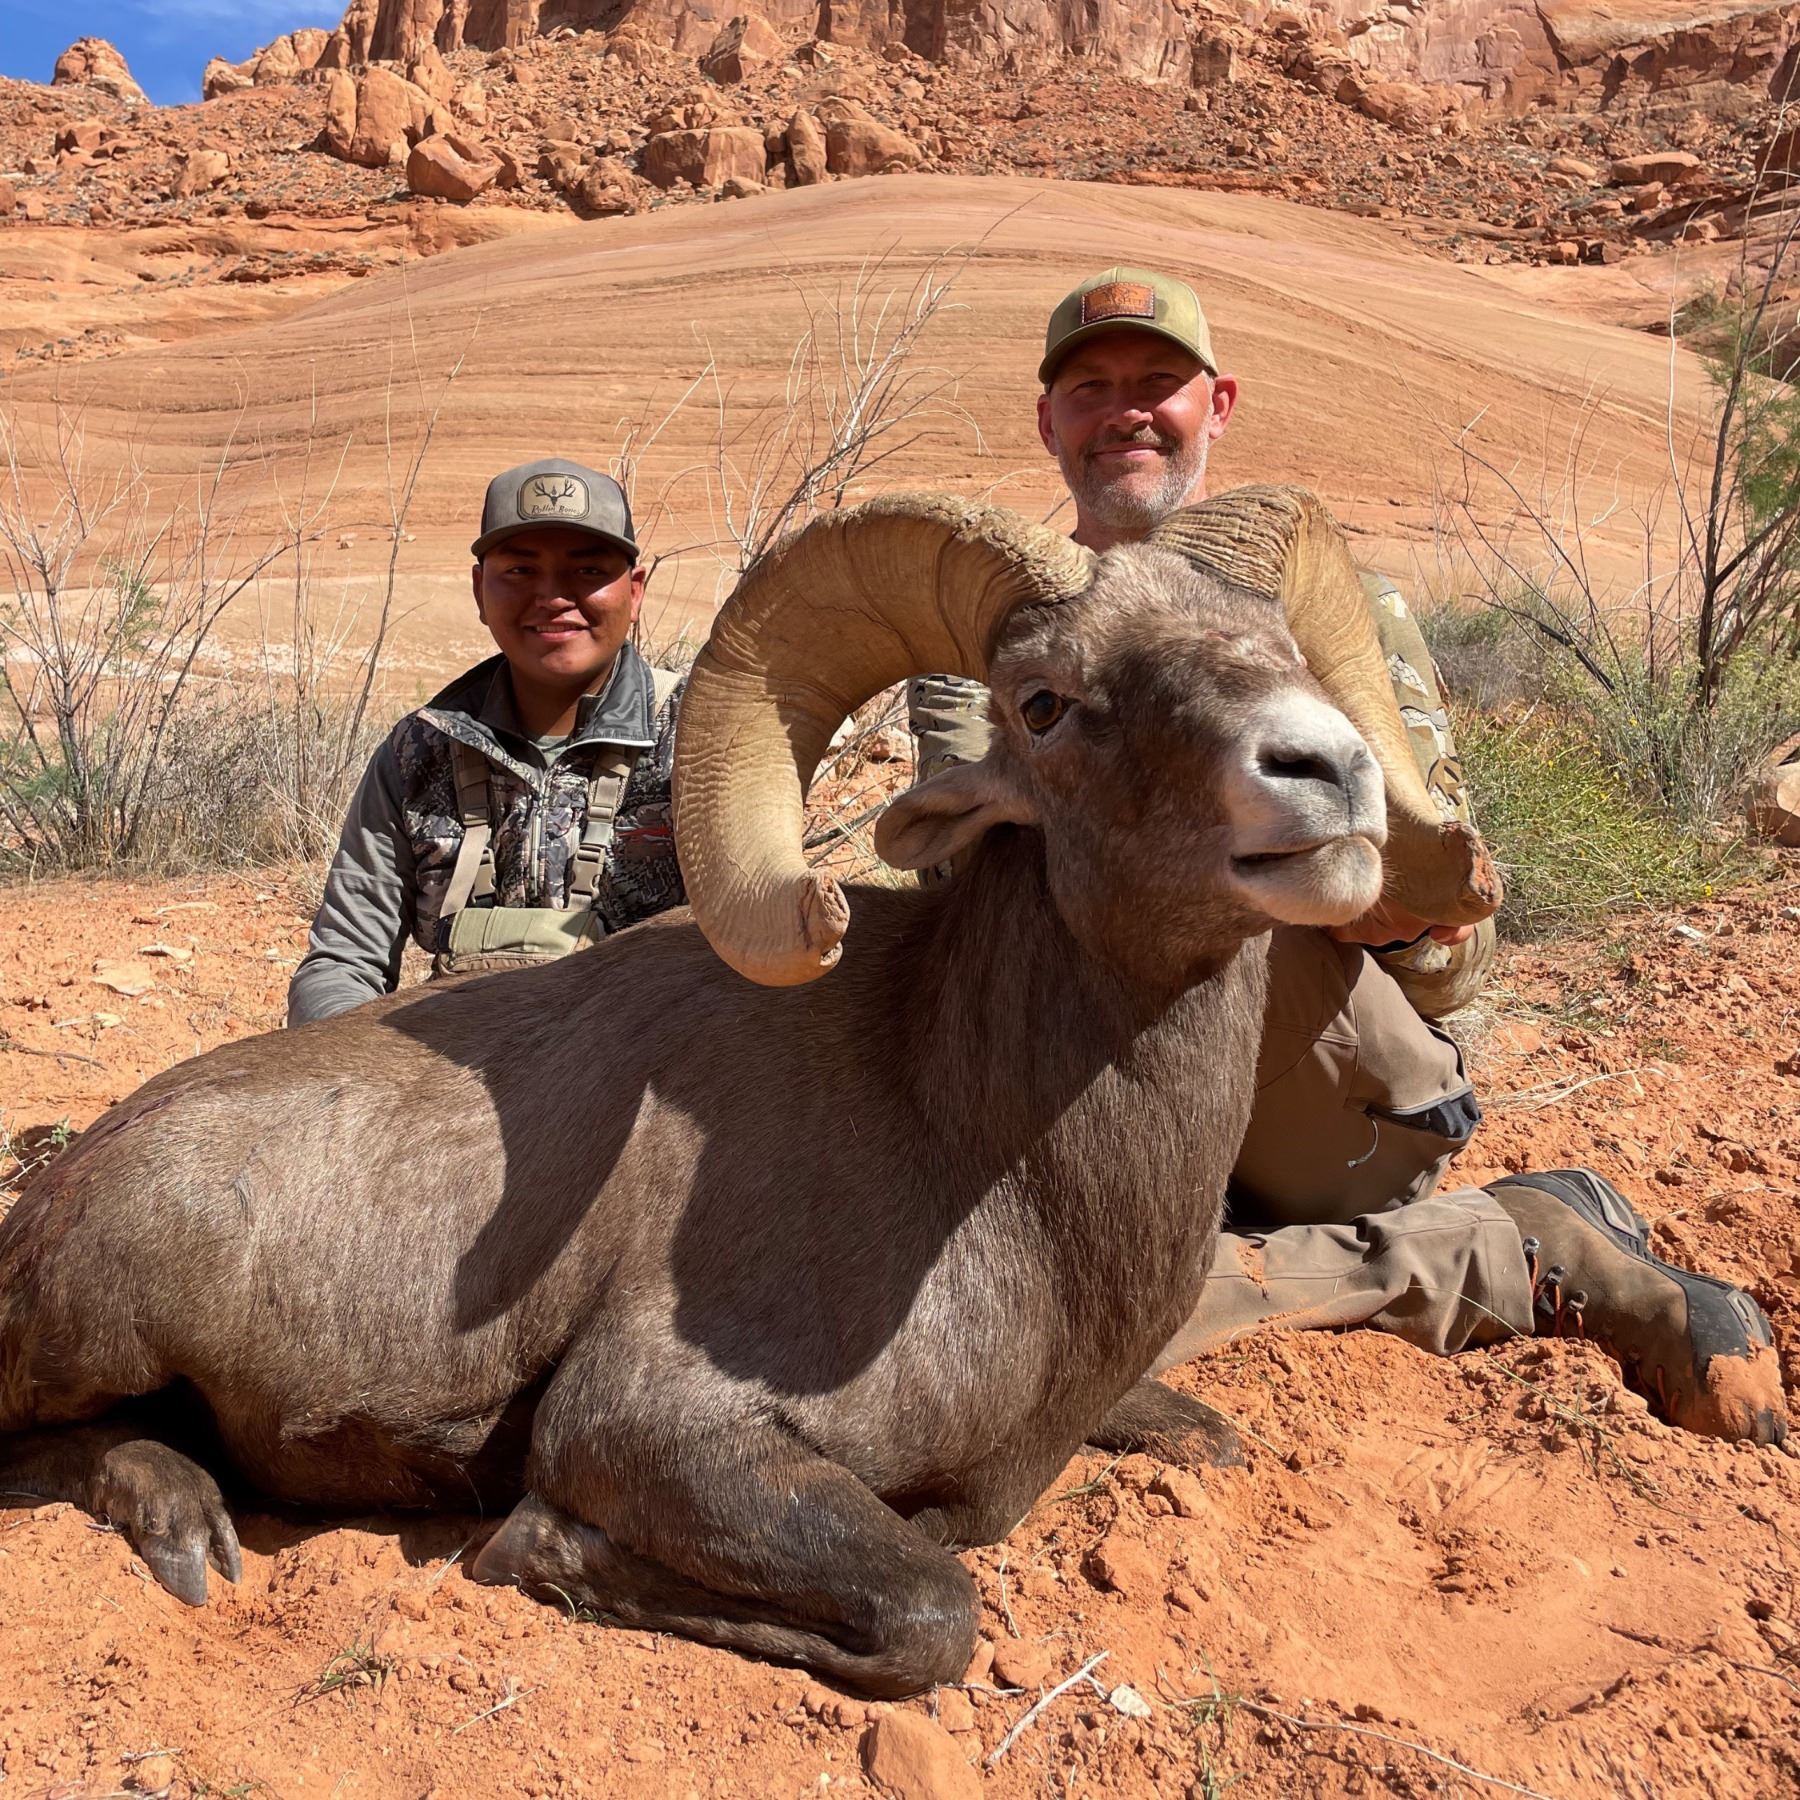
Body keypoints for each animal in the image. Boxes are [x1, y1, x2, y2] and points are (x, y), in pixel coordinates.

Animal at [0, 487, 1498, 1698]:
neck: (992, 1171)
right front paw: (542, 1549)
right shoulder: (659, 1433)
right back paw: (188, 1525)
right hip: (96, 1330)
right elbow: (932, 1608)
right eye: (1044, 702)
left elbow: (1194, 1438)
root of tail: (56, 1186)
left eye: (1288, 653)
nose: (1327, 775)